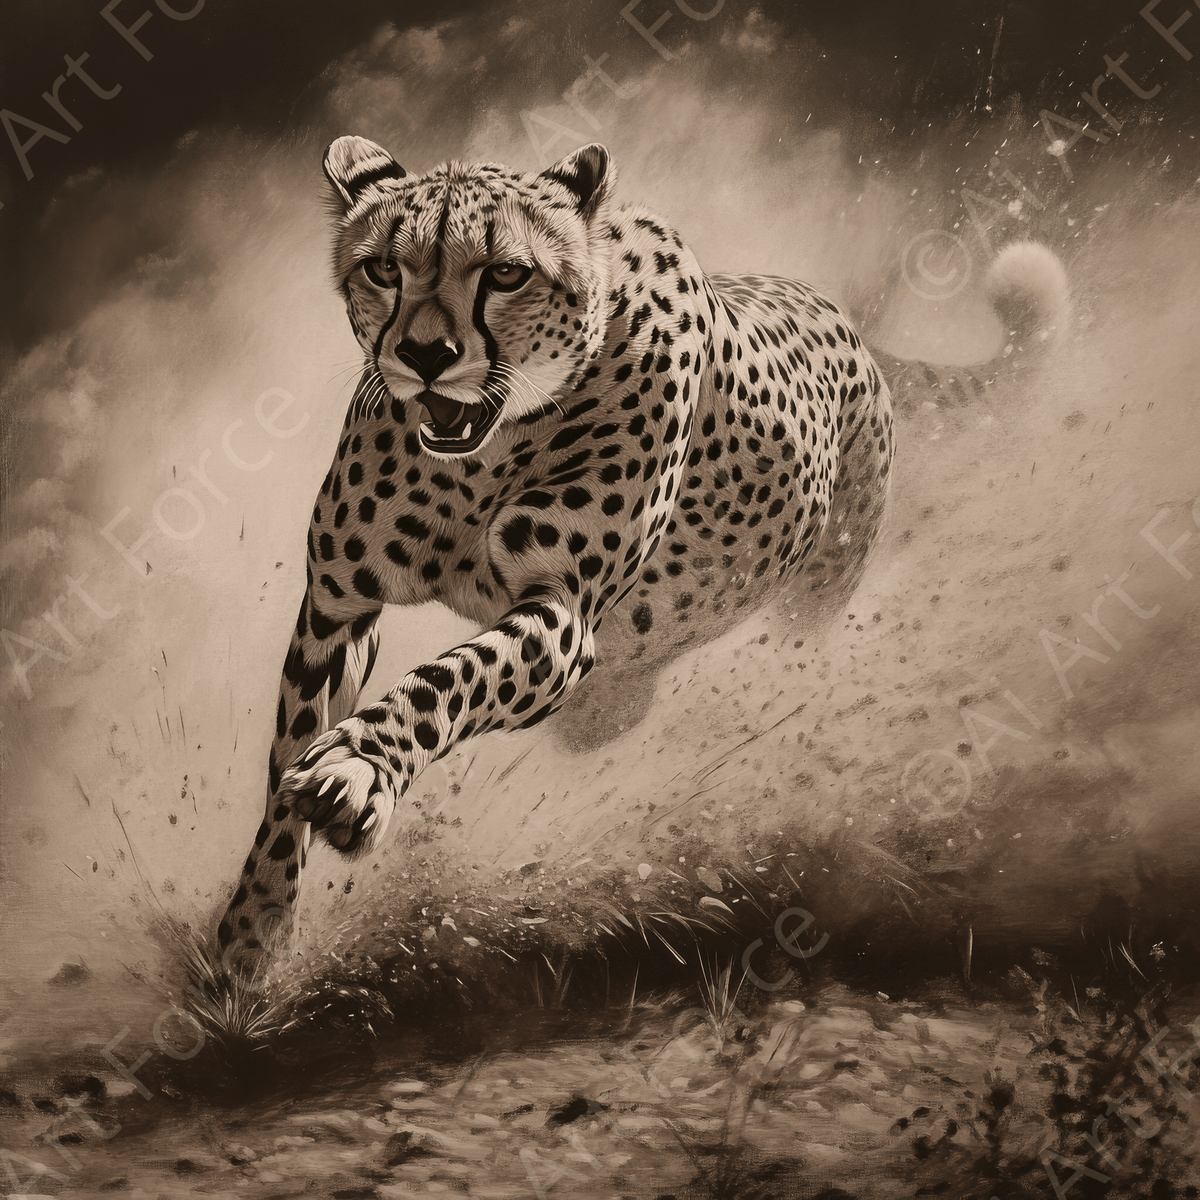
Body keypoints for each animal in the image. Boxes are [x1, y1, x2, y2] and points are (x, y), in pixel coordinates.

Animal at [216, 136, 1066, 977]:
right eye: (384, 270)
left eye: (505, 273)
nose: (426, 355)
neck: (484, 453)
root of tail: (840, 316)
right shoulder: (338, 604)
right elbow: (285, 762)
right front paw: (252, 936)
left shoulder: (563, 615)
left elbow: (445, 682)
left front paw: (355, 772)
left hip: (810, 610)